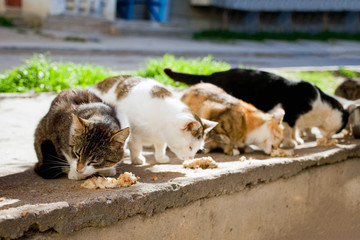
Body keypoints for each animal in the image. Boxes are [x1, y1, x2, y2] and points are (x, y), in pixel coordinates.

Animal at [165, 66, 348, 147]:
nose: (332, 136)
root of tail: (215, 74)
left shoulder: (295, 118)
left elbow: (295, 129)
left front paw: (298, 139)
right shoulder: (291, 113)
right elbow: (289, 129)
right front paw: (291, 142)